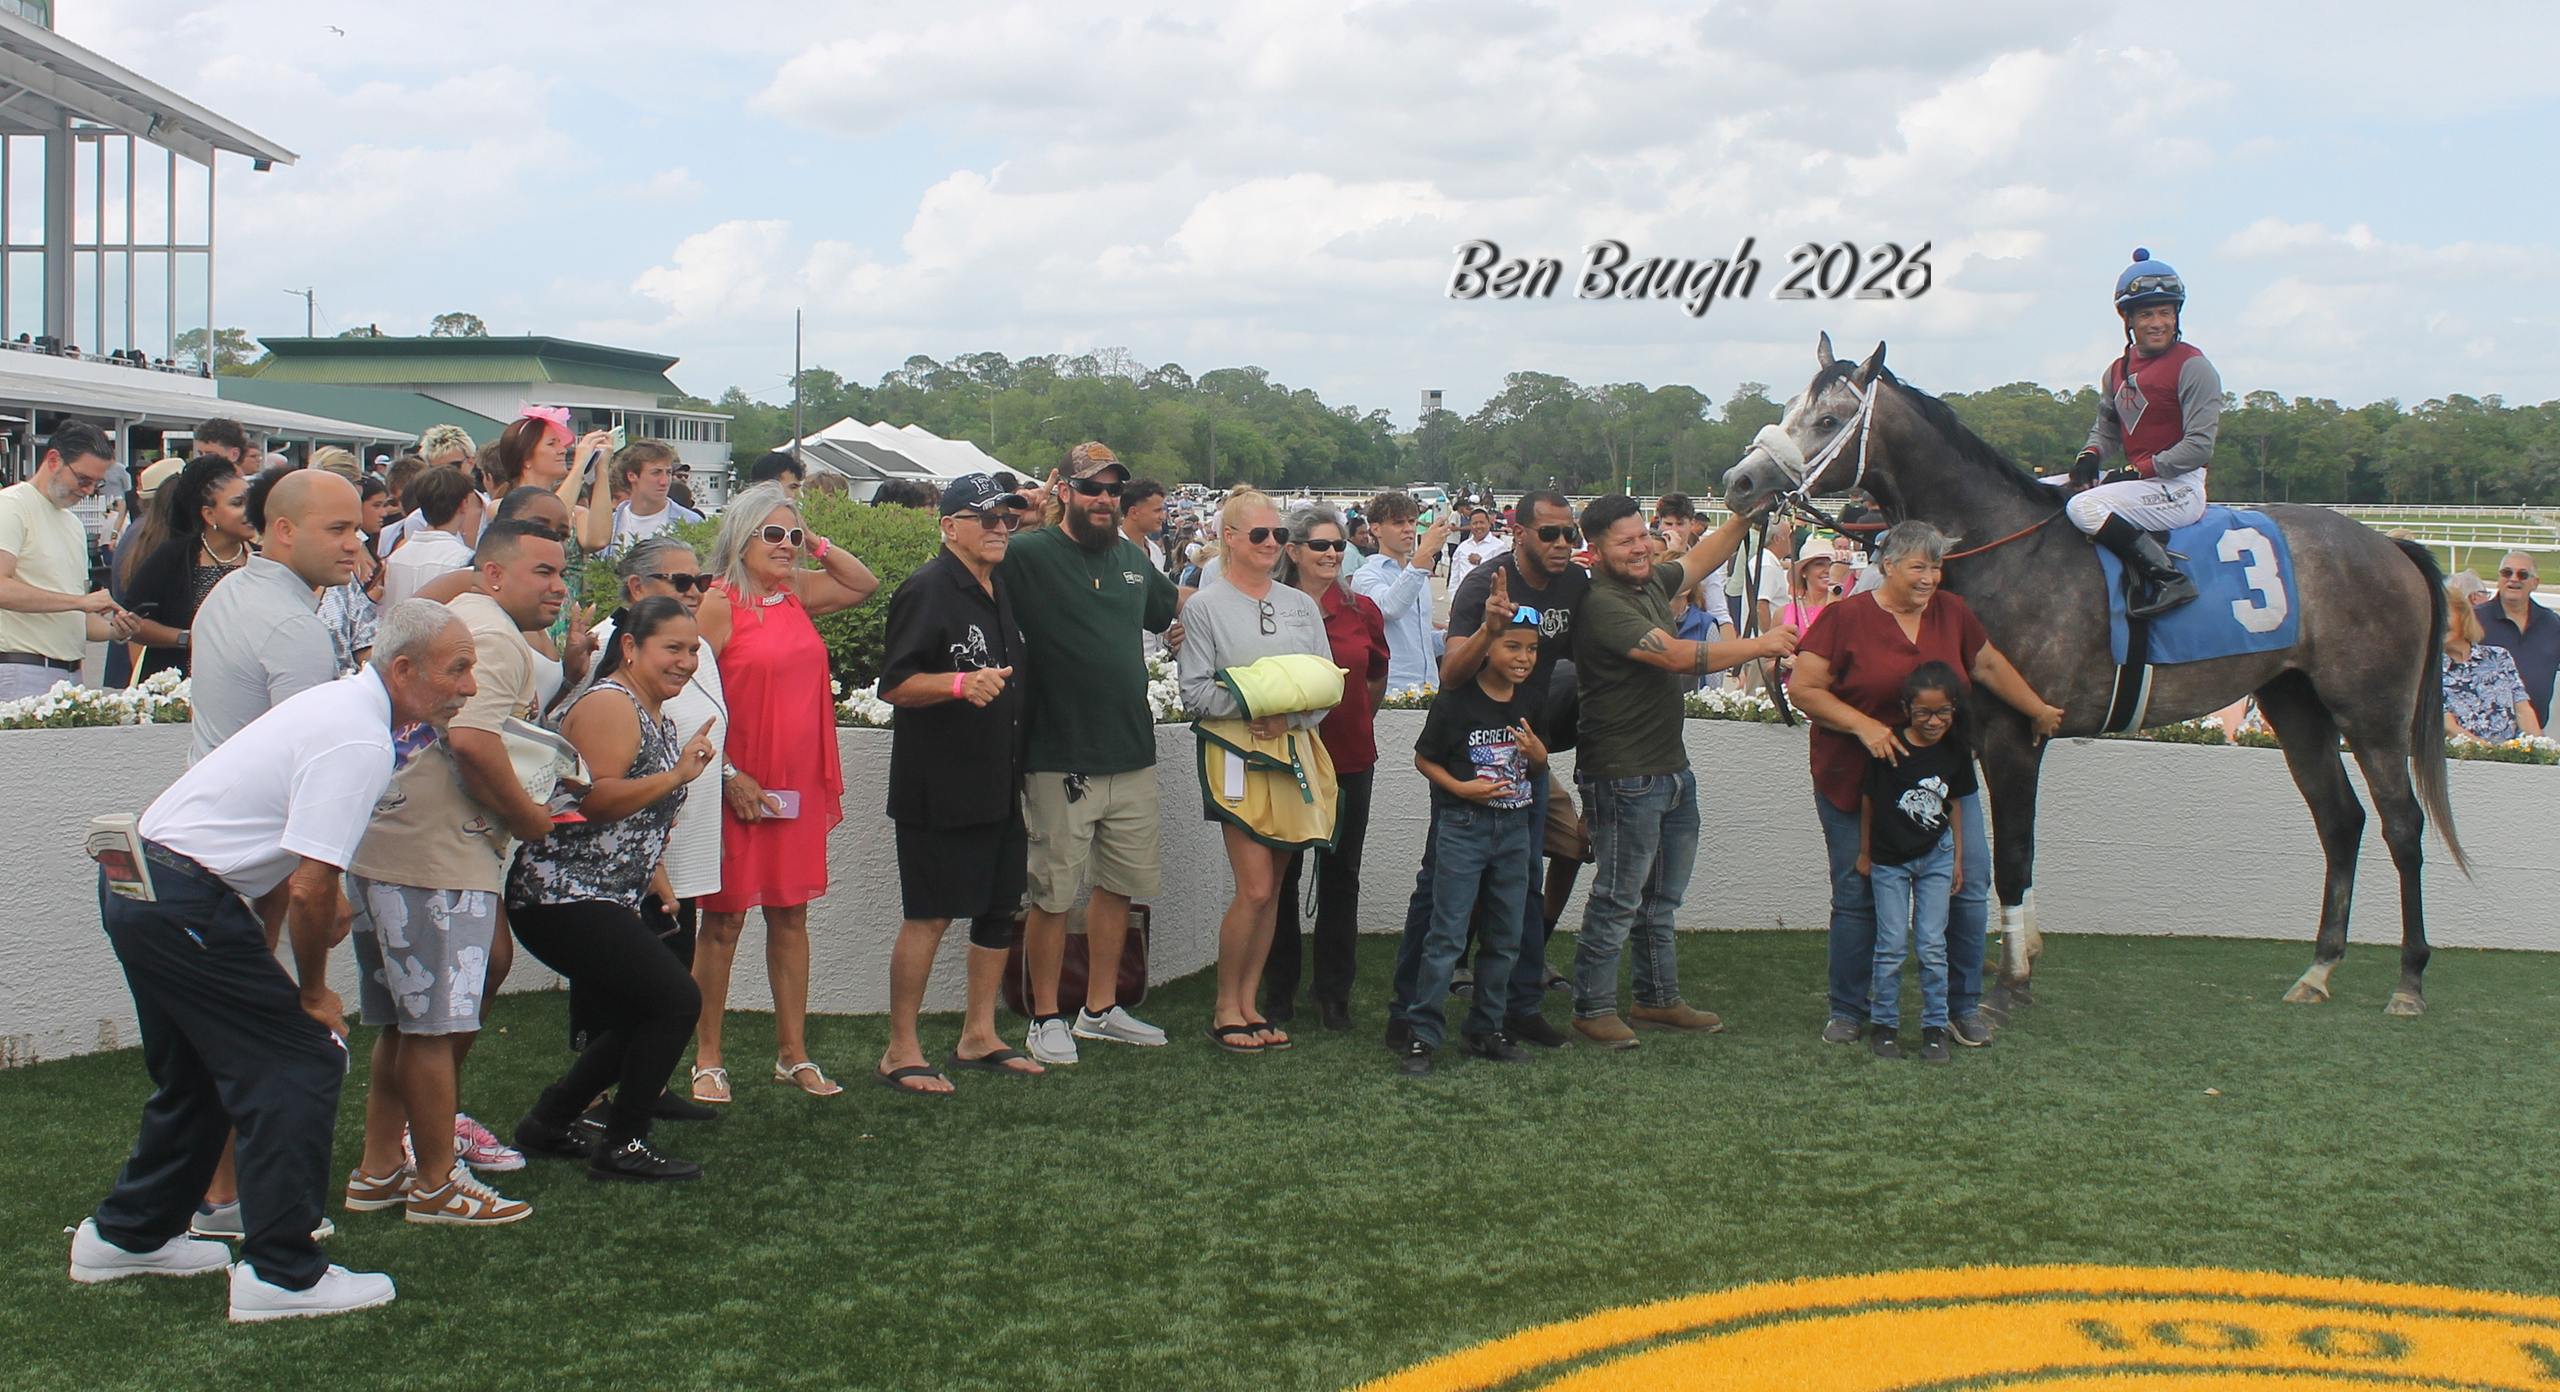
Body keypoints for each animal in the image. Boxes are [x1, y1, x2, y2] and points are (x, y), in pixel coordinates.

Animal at [1721, 335, 2464, 1017]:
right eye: (1788, 410)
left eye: (1827, 419)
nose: (1740, 483)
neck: (2003, 549)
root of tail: (2390, 545)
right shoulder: (1970, 729)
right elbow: (1991, 848)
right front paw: (2013, 955)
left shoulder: (2016, 733)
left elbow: (2015, 853)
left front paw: (2012, 981)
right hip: (2298, 707)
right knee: (2340, 821)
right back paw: (2319, 969)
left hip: (2371, 713)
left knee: (2403, 825)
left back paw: (2409, 980)